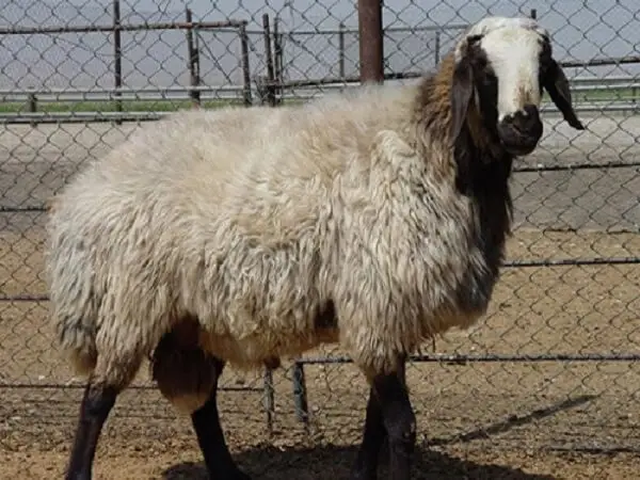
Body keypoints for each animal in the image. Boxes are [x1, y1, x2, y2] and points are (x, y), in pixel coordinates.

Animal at [45, 15, 584, 480]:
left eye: (542, 64)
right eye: (485, 70)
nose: (523, 127)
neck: (431, 146)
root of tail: (81, 191)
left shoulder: (387, 313)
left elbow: (376, 422)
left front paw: (361, 474)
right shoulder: (376, 303)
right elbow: (401, 428)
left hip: (197, 314)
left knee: (202, 402)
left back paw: (228, 474)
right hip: (132, 302)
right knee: (97, 398)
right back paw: (81, 472)